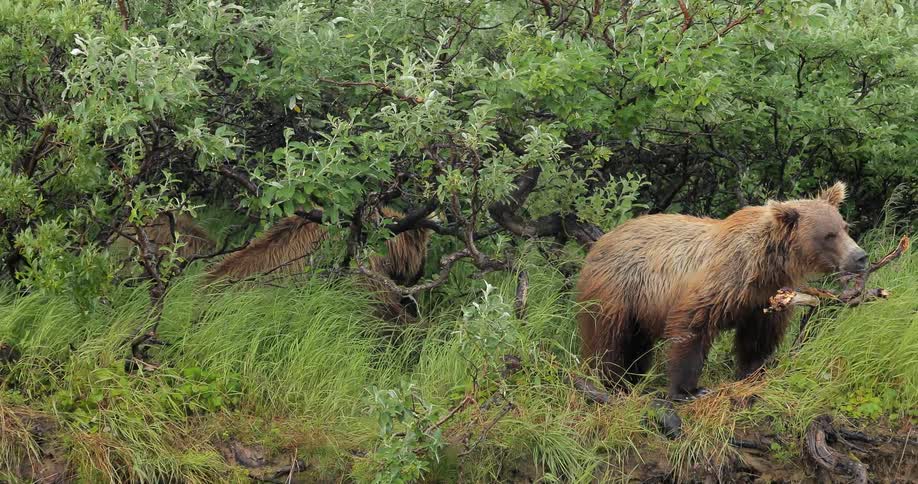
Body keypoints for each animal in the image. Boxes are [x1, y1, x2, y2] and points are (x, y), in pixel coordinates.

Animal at [575, 182, 868, 401]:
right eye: (828, 235)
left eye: (845, 227)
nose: (860, 256)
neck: (764, 264)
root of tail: (600, 241)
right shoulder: (722, 281)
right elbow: (692, 328)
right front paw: (689, 389)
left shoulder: (765, 297)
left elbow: (759, 339)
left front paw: (754, 371)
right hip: (618, 289)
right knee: (609, 339)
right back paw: (609, 380)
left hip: (640, 306)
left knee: (637, 344)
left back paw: (630, 378)